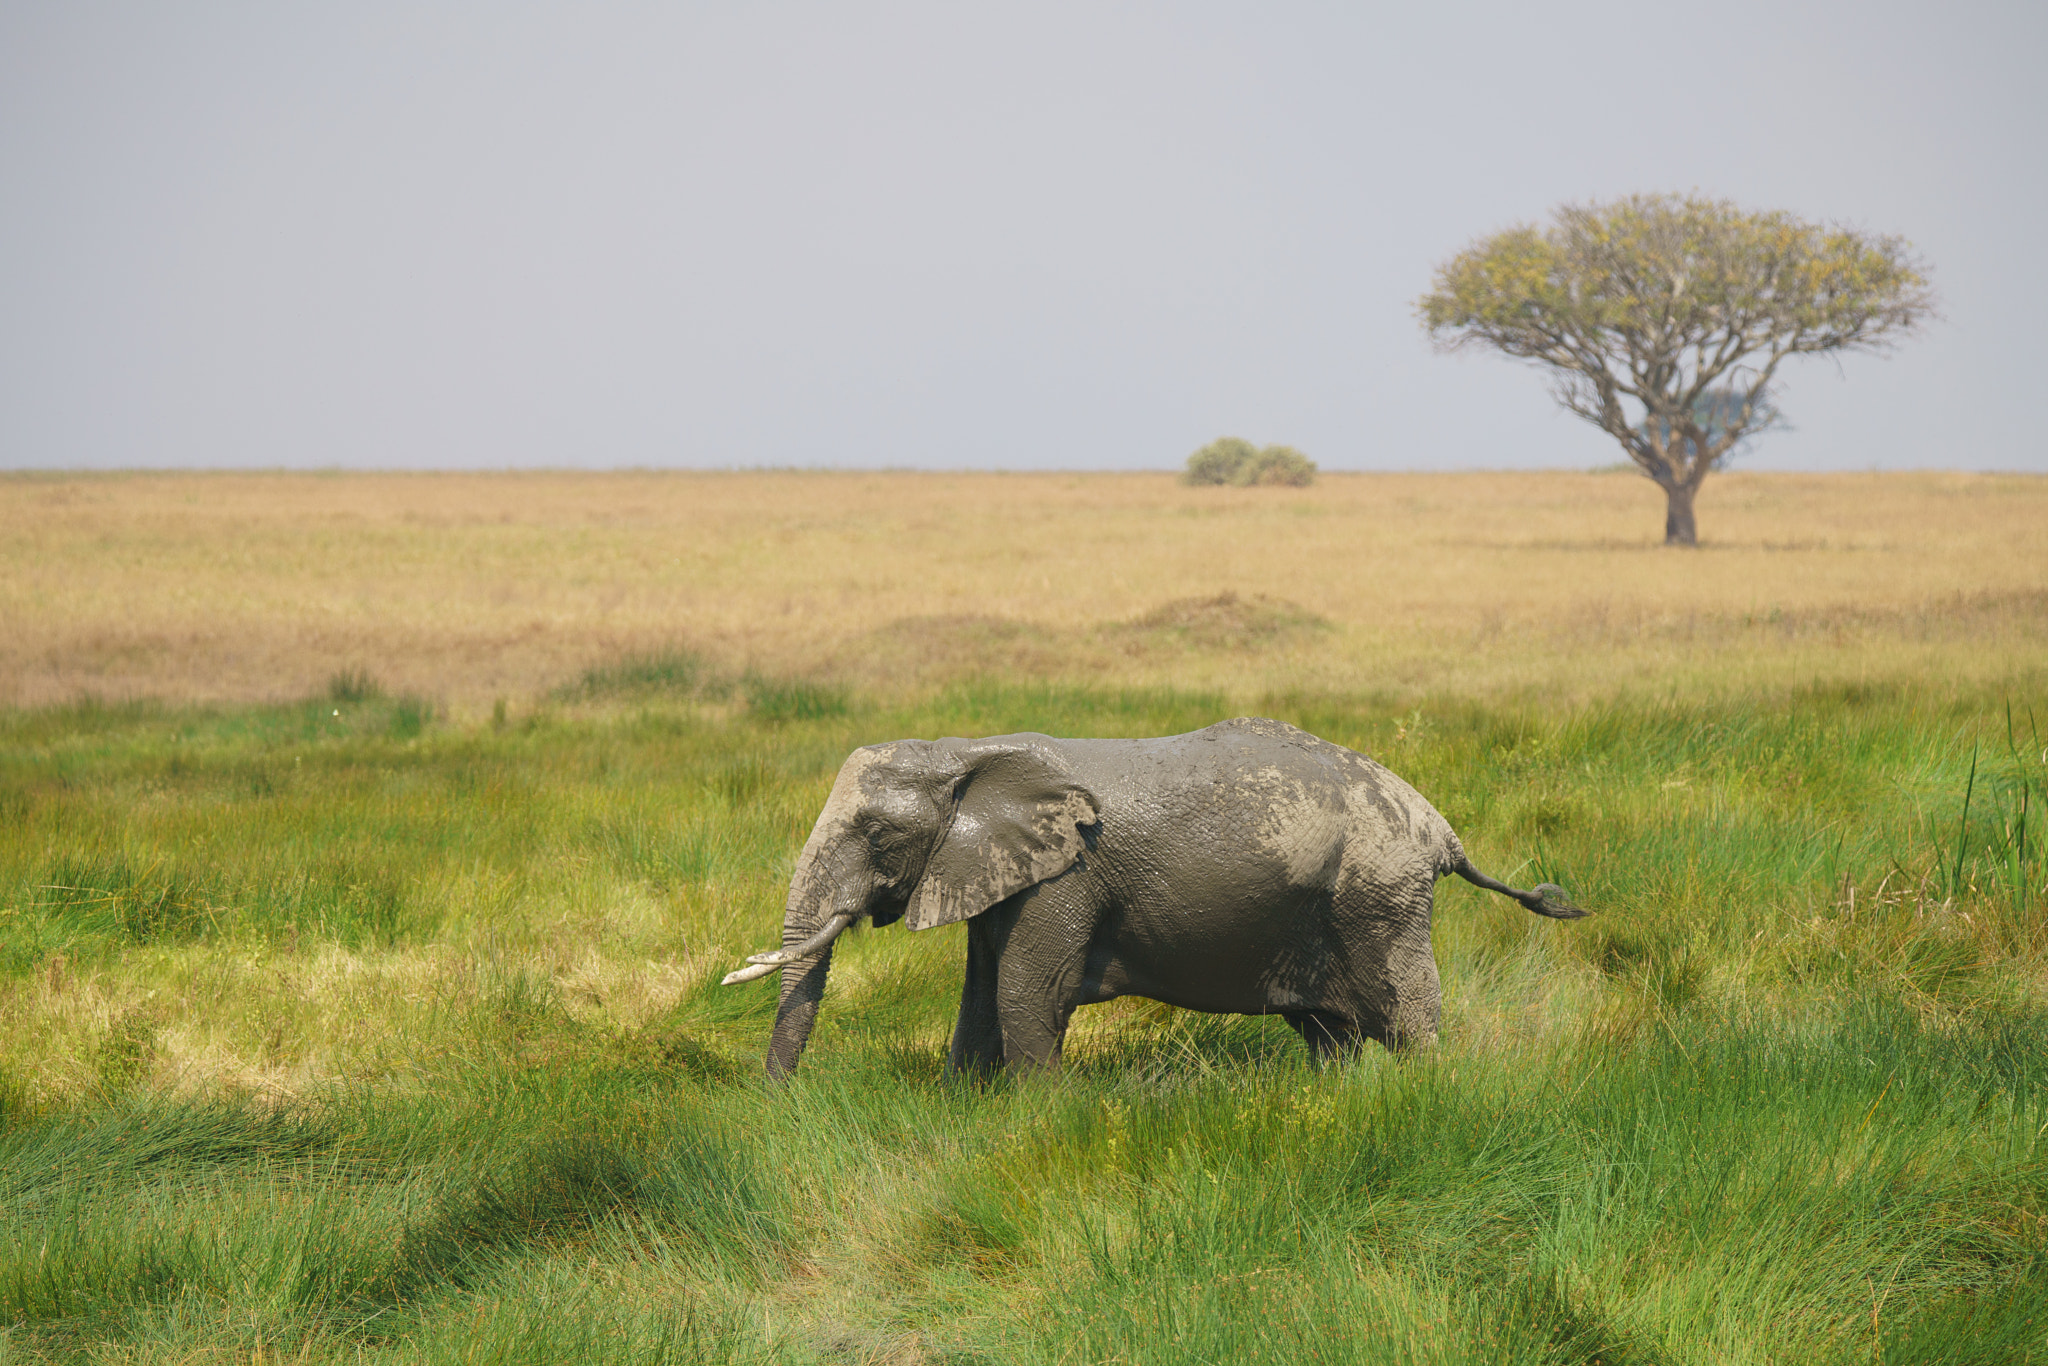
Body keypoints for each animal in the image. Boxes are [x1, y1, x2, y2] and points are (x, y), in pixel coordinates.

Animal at [720, 716, 1581, 1081]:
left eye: (875, 833)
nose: (781, 1106)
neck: (965, 749)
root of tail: (1442, 829)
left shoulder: (1066, 877)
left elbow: (1027, 993)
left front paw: (1035, 1121)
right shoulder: (1002, 875)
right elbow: (980, 994)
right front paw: (961, 1106)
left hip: (1377, 892)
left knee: (1405, 1013)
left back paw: (1423, 1099)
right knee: (1328, 1032)